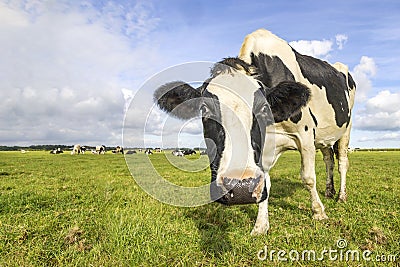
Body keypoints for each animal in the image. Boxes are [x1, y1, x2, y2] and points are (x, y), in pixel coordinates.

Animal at [153, 28, 356, 236]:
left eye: (263, 108)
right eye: (204, 109)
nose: (240, 188)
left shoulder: (305, 135)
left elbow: (308, 177)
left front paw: (318, 212)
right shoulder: (262, 149)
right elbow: (265, 182)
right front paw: (260, 225)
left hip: (346, 129)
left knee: (342, 163)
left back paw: (341, 195)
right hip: (325, 137)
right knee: (328, 160)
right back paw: (329, 191)